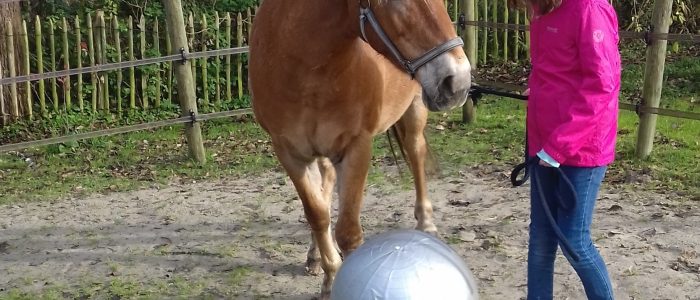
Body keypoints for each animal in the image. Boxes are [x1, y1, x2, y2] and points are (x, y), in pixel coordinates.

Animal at [249, 0, 474, 298]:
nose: (458, 81)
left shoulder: (357, 147)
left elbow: (348, 232)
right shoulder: (290, 153)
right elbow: (317, 214)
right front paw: (330, 274)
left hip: (415, 110)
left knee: (416, 156)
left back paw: (426, 224)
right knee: (325, 187)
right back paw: (315, 255)